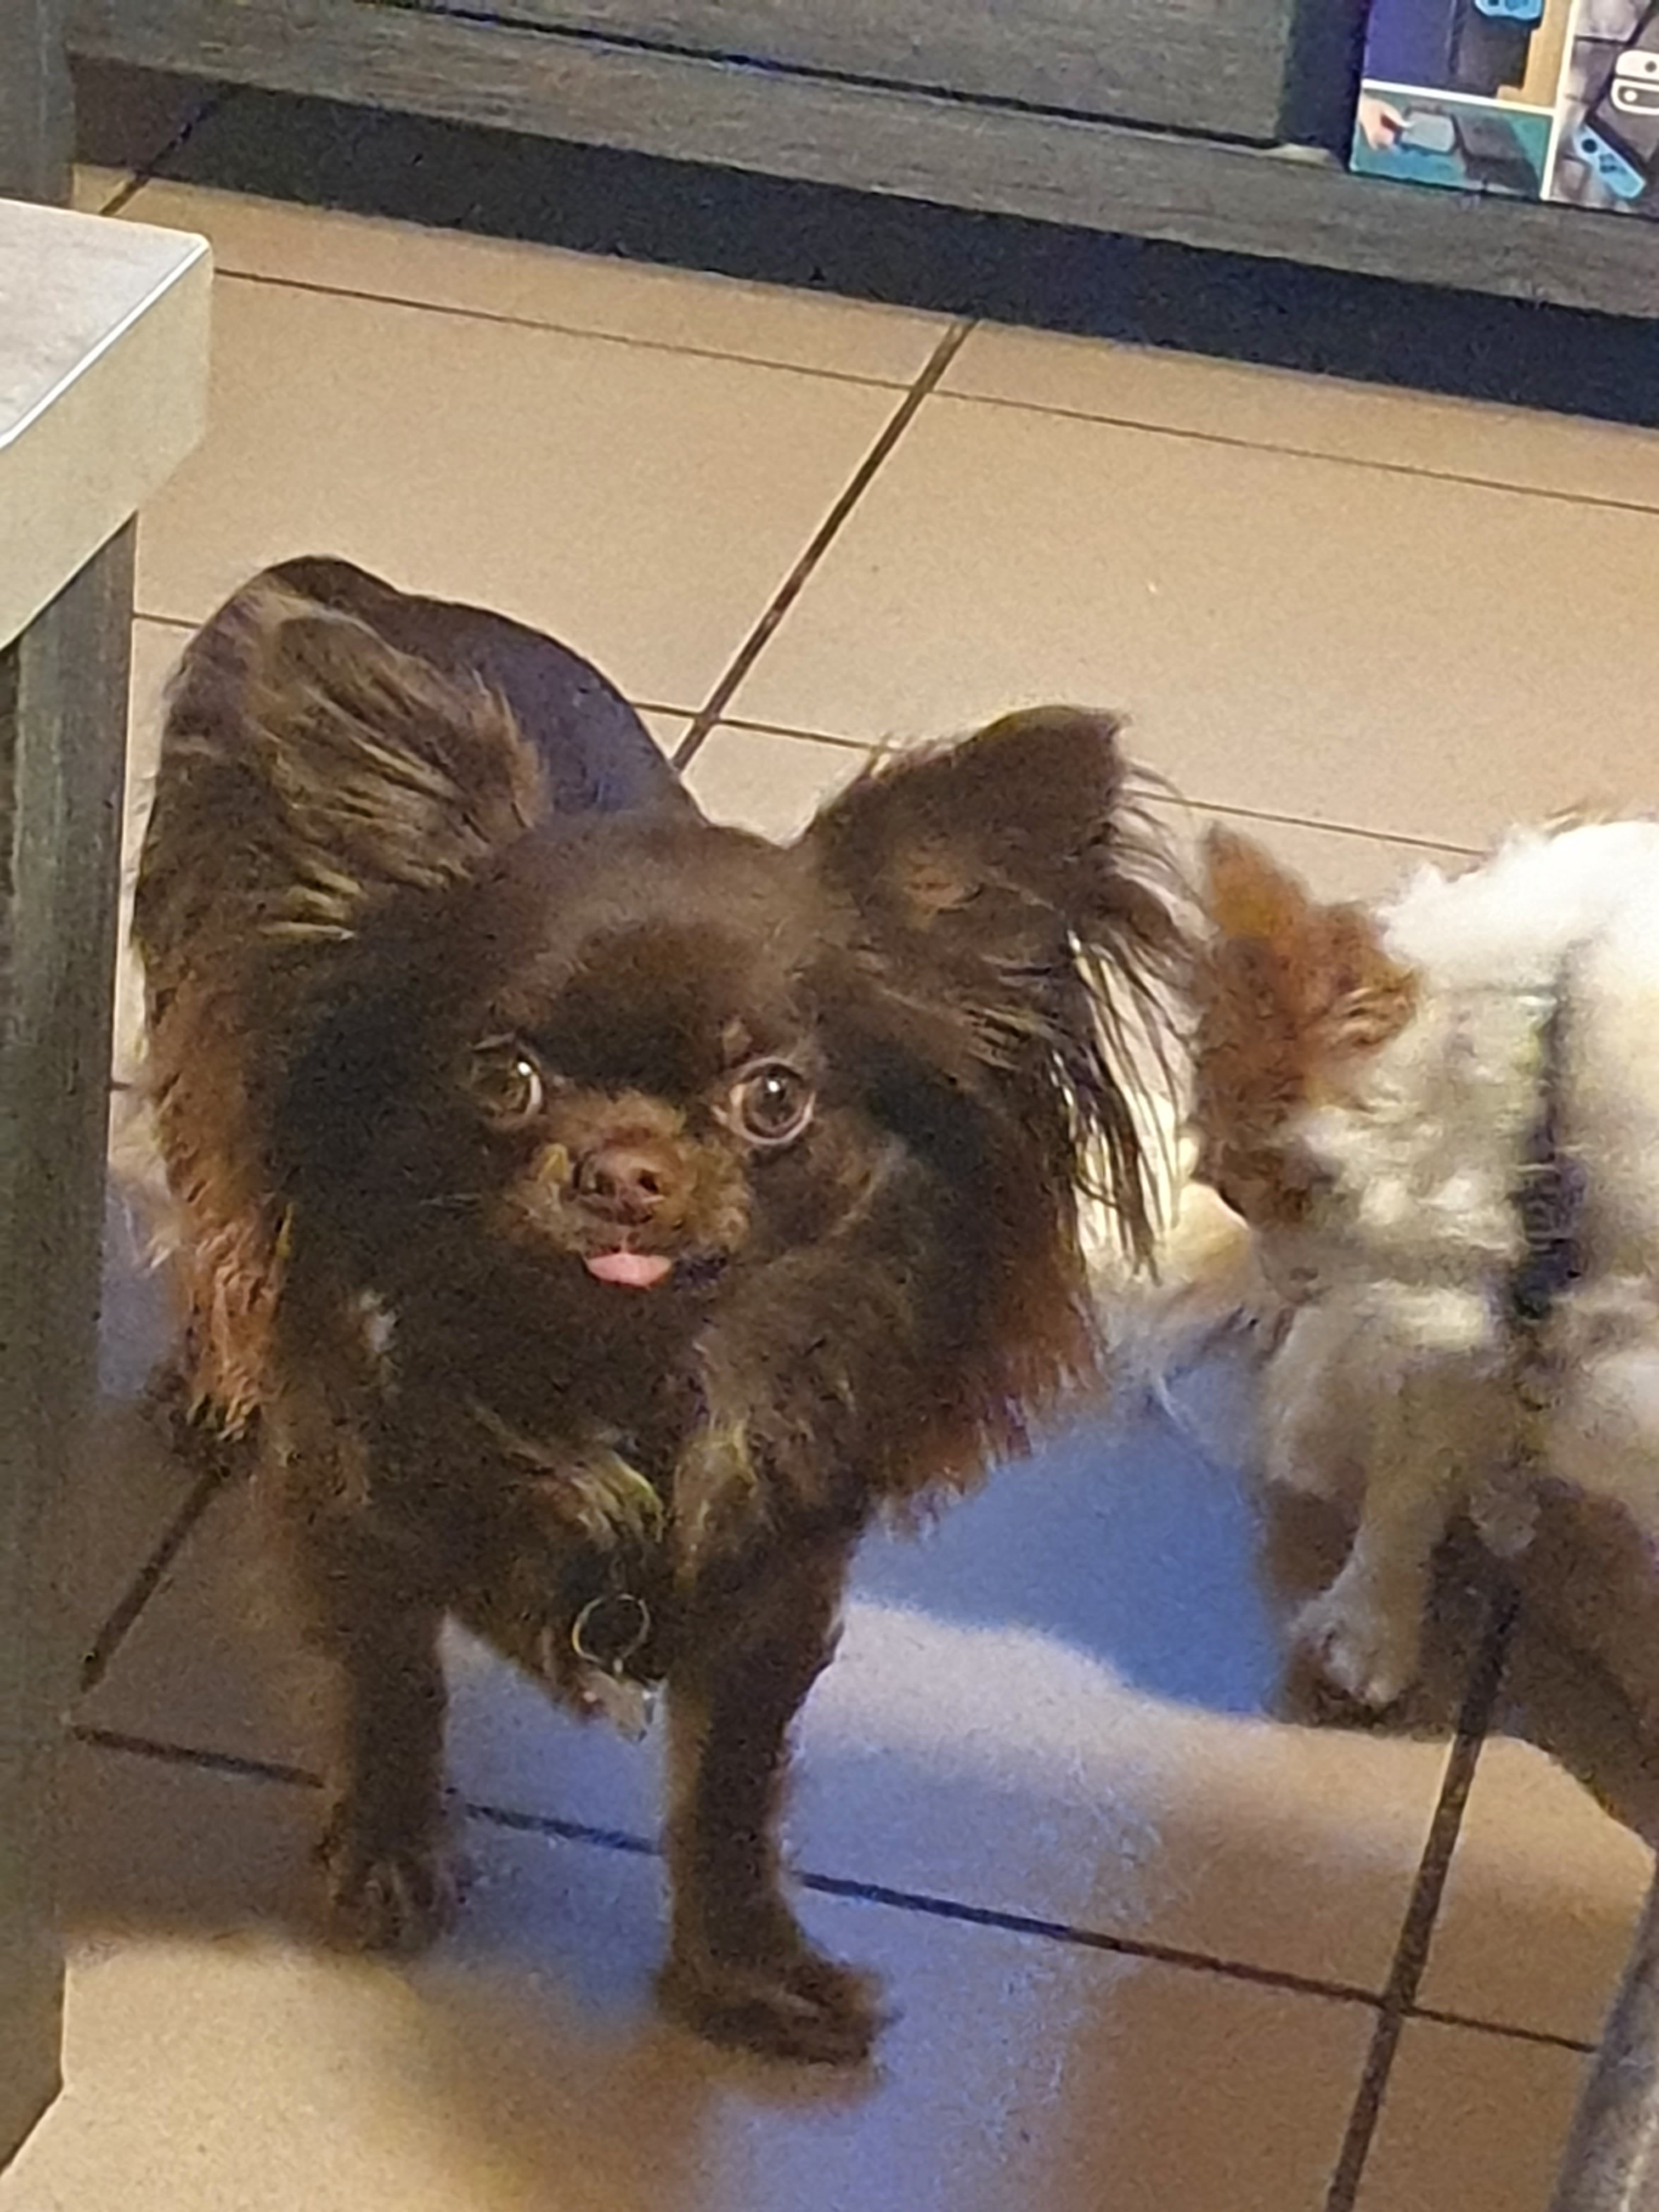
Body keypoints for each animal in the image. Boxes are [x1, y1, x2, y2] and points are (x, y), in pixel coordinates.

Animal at [126, 556, 1182, 2063]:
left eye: (774, 1099)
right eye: (502, 1078)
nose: (622, 1167)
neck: (614, 1378)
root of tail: (371, 586)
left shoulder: (772, 1601)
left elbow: (731, 1792)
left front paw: (743, 1969)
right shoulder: (354, 1517)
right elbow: (393, 1688)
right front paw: (390, 1849)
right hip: (195, 1028)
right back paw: (216, 1383)